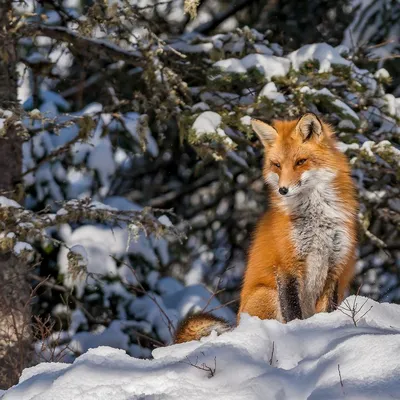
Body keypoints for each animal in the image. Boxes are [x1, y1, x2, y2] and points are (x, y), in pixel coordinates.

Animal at [175, 113, 360, 344]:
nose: (283, 190)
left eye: (301, 162)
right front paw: (299, 334)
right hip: (267, 294)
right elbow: (292, 311)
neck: (316, 218)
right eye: (277, 165)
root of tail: (238, 323)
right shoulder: (286, 264)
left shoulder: (335, 265)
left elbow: (329, 309)